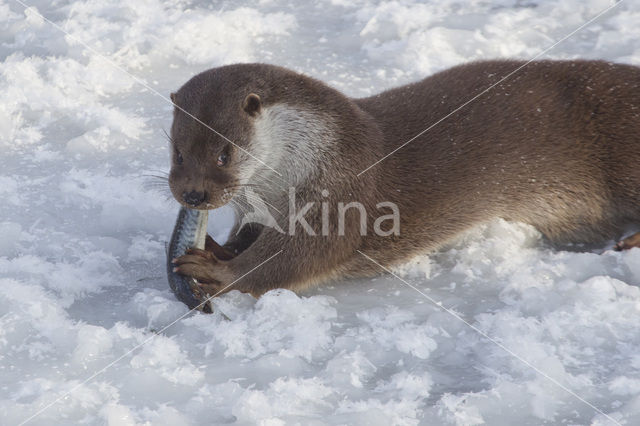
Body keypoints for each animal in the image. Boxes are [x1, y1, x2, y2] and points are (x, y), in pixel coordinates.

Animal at [169, 60, 640, 298]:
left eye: (225, 153)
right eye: (177, 151)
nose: (193, 193)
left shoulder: (342, 188)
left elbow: (301, 256)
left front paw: (214, 270)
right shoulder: (263, 207)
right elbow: (251, 237)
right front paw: (216, 248)